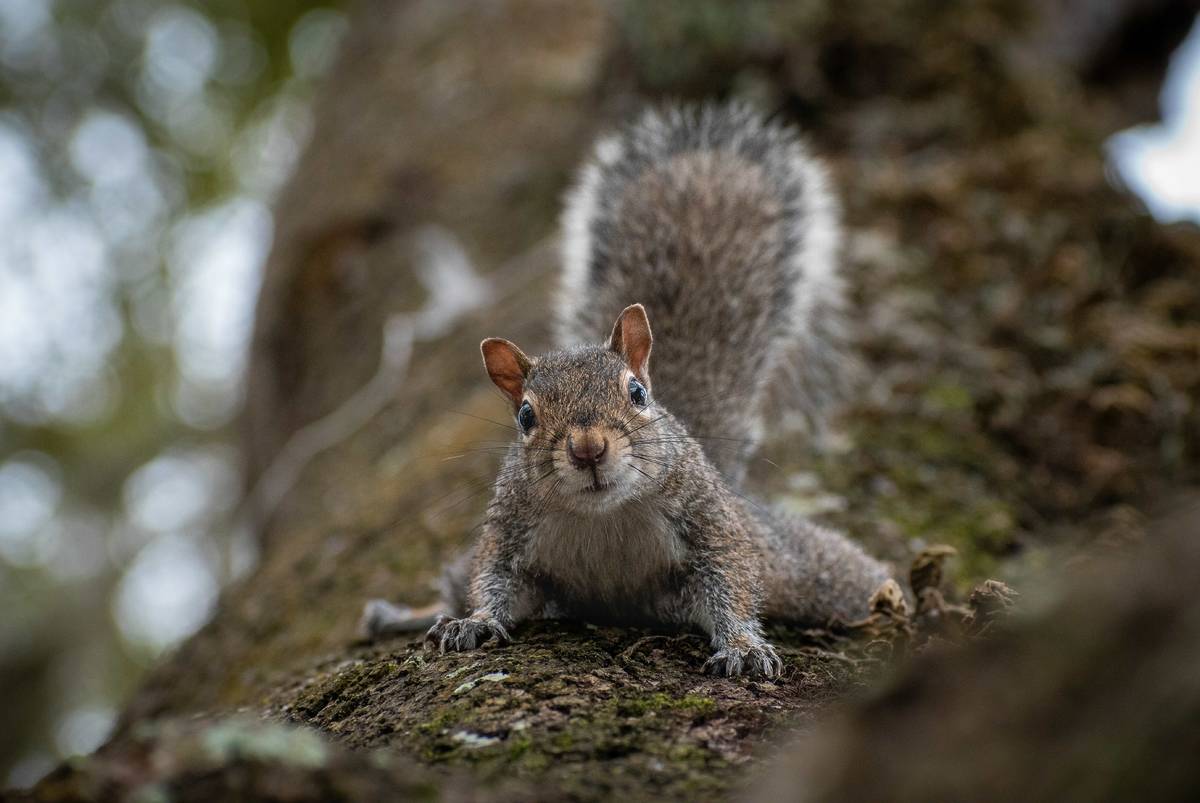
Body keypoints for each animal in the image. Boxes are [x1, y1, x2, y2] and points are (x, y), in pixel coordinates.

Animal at [361, 104, 892, 678]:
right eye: (525, 416)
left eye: (637, 394)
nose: (588, 448)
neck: (605, 516)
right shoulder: (508, 531)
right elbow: (493, 582)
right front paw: (473, 622)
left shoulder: (711, 524)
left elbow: (730, 582)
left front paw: (742, 646)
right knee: (457, 582)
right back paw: (403, 615)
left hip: (798, 565)